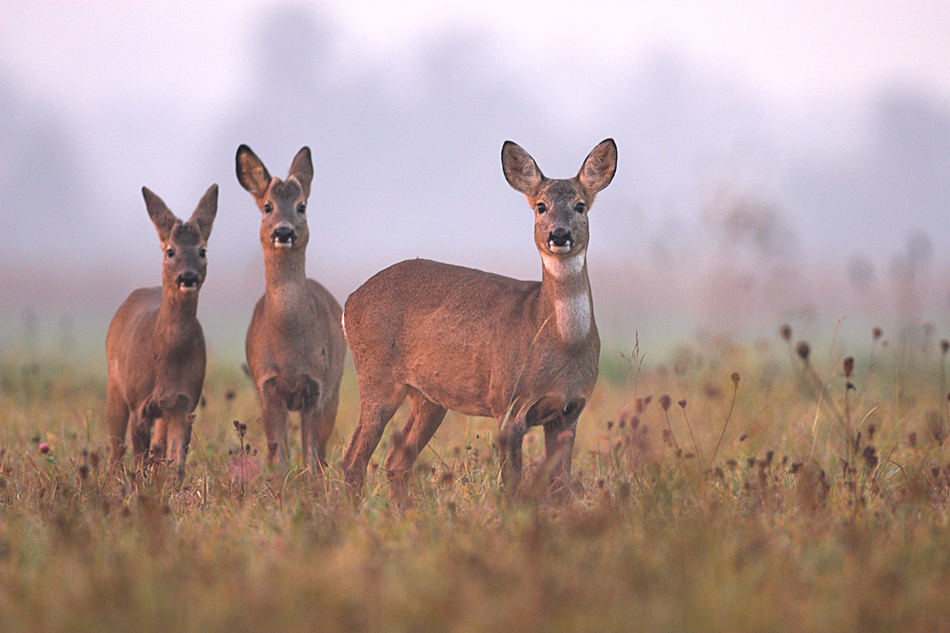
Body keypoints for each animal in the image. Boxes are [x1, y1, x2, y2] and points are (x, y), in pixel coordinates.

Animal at [107, 183, 218, 474]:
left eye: (202, 250)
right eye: (170, 251)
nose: (187, 277)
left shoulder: (185, 403)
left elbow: (177, 463)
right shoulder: (139, 403)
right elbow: (139, 460)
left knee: (158, 450)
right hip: (115, 385)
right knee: (116, 448)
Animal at [237, 143, 348, 470]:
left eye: (301, 206)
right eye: (267, 206)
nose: (283, 232)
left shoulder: (317, 386)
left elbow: (310, 451)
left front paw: (308, 482)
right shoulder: (266, 386)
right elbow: (278, 450)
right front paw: (279, 481)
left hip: (335, 388)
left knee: (321, 450)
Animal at [342, 137, 616, 494]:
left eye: (580, 205)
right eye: (541, 206)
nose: (558, 235)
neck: (557, 339)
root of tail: (349, 301)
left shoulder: (570, 411)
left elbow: (561, 487)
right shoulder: (508, 401)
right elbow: (511, 485)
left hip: (429, 397)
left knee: (395, 462)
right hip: (376, 376)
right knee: (353, 461)